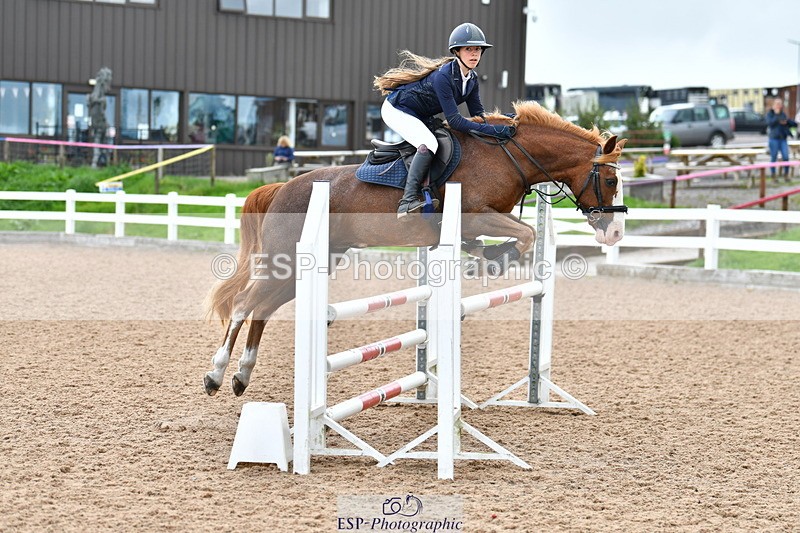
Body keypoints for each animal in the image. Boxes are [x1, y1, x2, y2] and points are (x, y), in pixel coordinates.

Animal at [203, 100, 627, 397]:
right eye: (609, 180)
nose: (616, 234)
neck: (508, 158)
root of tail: (281, 188)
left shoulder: (474, 224)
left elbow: (513, 238)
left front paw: (487, 259)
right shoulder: (474, 217)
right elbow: (526, 235)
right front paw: (491, 263)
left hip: (309, 264)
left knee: (262, 308)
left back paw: (242, 376)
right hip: (288, 260)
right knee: (244, 304)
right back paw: (216, 374)